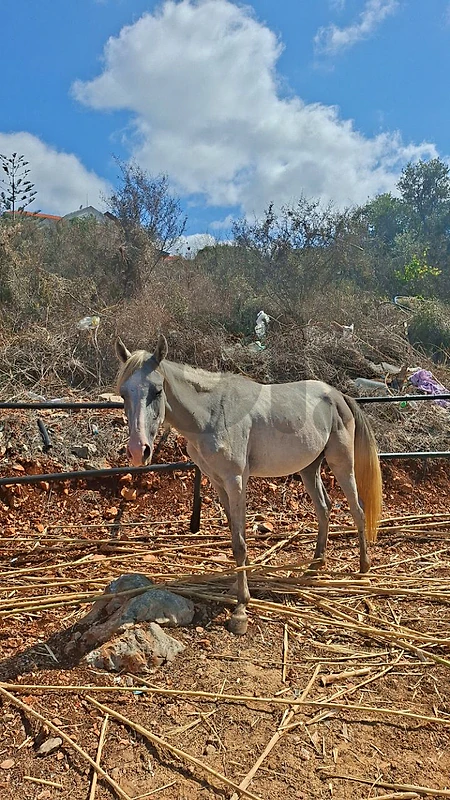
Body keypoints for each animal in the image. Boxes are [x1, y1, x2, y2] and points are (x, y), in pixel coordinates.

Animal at [116, 335, 382, 635]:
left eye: (157, 391)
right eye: (123, 393)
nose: (138, 451)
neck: (211, 413)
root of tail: (338, 396)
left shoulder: (236, 481)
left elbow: (241, 543)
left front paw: (241, 607)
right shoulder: (218, 482)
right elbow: (234, 535)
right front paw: (236, 587)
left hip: (342, 464)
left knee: (358, 510)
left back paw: (363, 567)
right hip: (309, 469)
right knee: (324, 509)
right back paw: (315, 566)